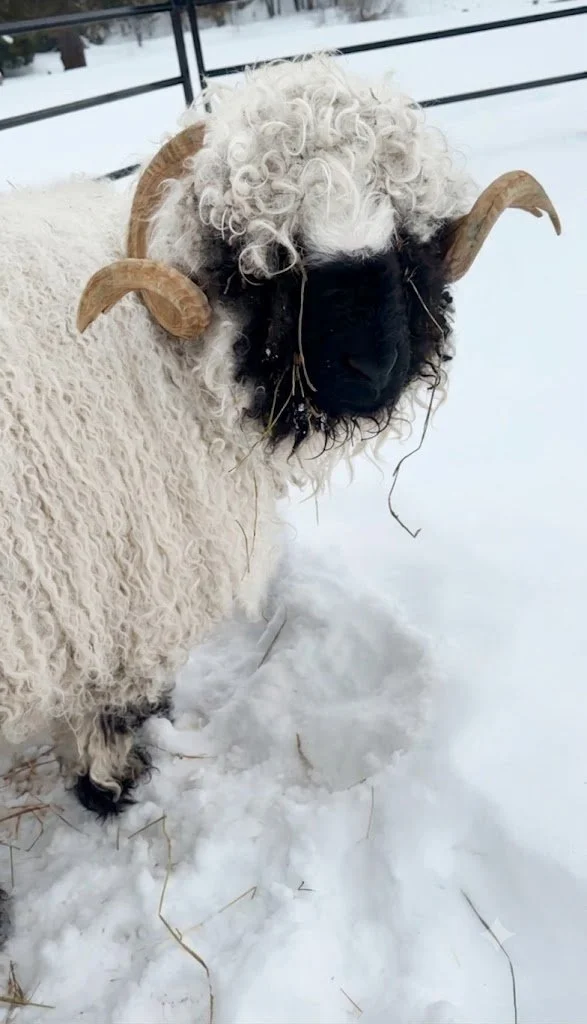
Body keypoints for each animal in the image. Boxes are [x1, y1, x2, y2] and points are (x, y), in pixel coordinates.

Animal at [0, 55, 560, 819]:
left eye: (404, 242)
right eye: (268, 259)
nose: (374, 368)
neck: (175, 371)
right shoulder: (109, 601)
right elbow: (109, 712)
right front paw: (113, 787)